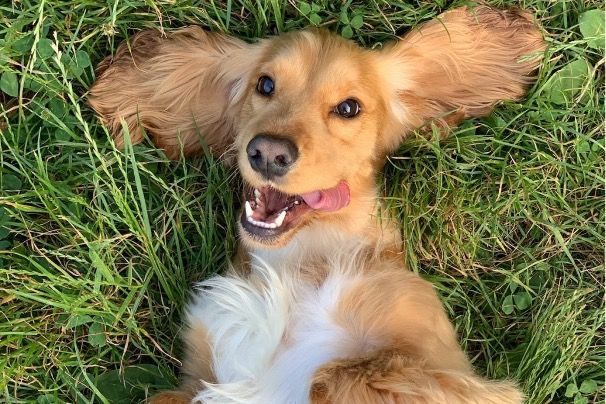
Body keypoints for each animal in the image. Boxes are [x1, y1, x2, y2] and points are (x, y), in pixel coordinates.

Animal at [89, 5, 545, 403]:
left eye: (348, 107)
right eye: (265, 84)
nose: (268, 153)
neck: (297, 263)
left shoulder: (454, 371)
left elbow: (348, 374)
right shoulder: (200, 367)